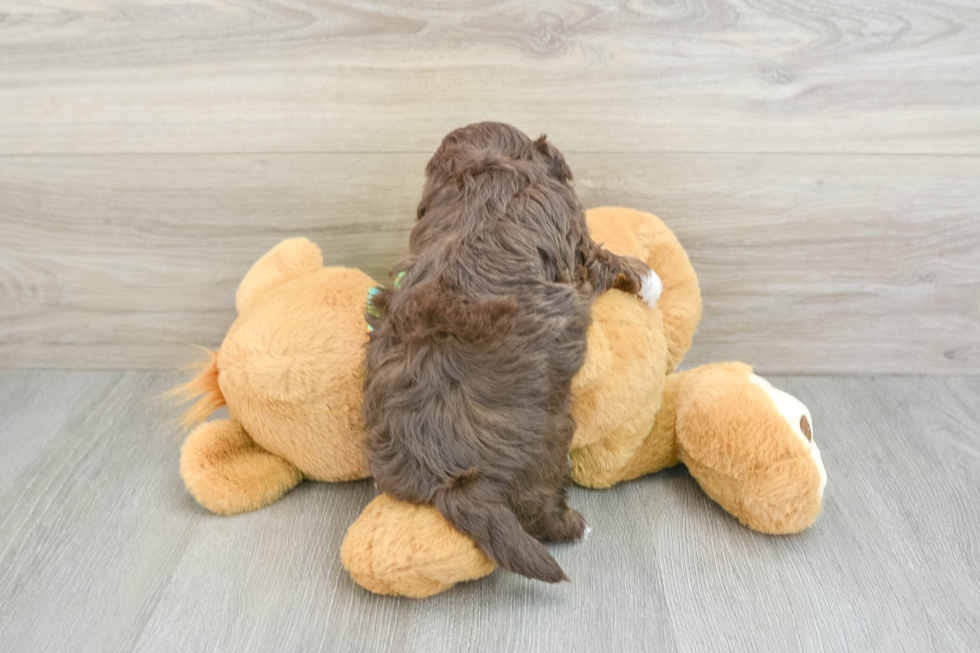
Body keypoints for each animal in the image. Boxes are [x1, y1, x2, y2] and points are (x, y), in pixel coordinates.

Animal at [362, 122, 660, 580]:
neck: (486, 172)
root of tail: (448, 473)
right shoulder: (576, 244)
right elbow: (603, 258)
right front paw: (647, 278)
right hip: (549, 444)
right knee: (540, 508)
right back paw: (575, 527)